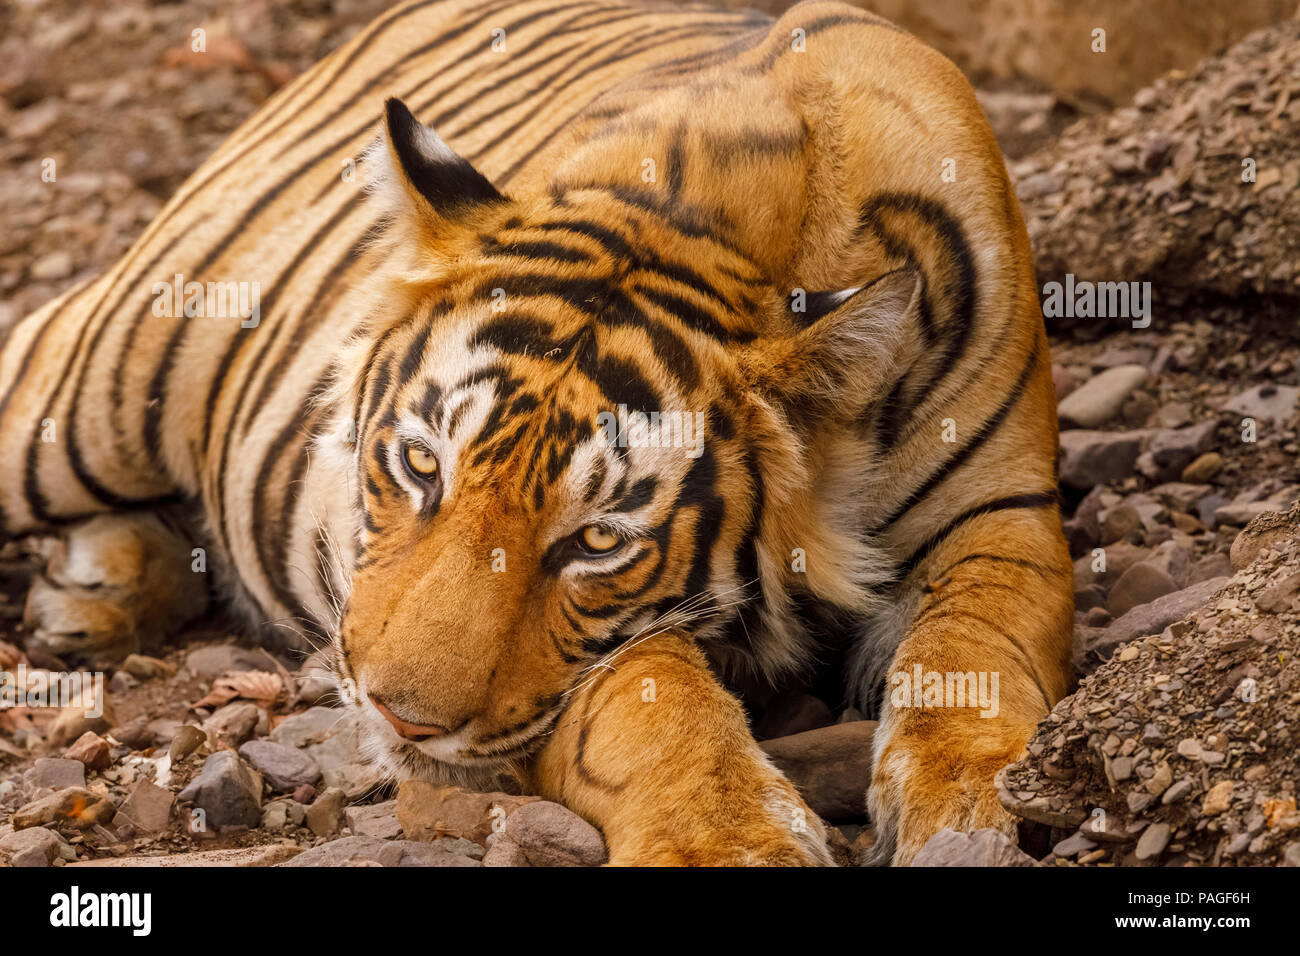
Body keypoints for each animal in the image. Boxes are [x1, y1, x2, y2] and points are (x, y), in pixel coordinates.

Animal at [0, 0, 1073, 865]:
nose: (393, 713)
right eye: (420, 464)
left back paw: (100, 584)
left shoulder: (1002, 512)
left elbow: (978, 646)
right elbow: (650, 703)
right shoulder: (593, 671)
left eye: (596, 540)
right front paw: (727, 840)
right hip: (87, 392)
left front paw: (972, 802)